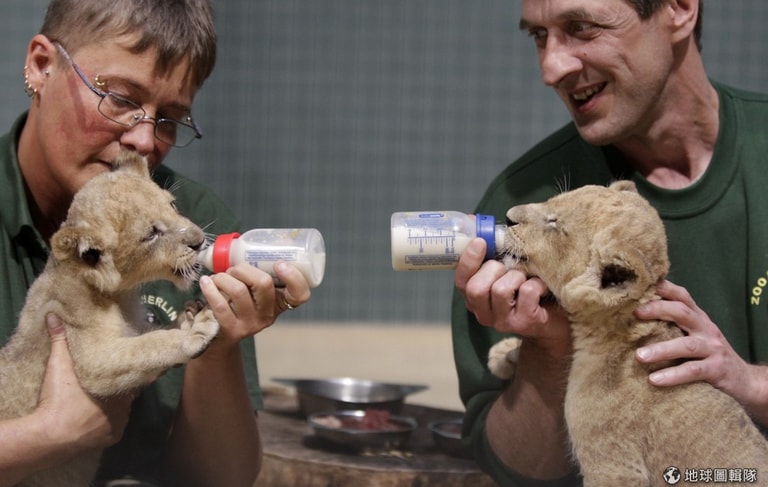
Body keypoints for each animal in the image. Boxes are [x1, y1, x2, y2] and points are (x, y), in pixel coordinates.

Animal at [0, 151, 220, 486]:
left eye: (171, 205)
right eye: (151, 234)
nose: (198, 241)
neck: (120, 296)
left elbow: (150, 333)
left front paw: (190, 316)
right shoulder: (89, 359)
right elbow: (146, 347)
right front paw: (192, 334)